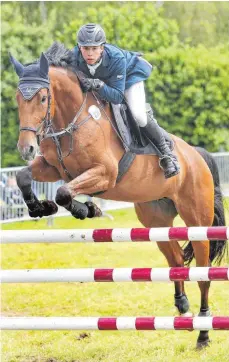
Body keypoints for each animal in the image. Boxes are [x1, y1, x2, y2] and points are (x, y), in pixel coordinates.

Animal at [9, 41, 227, 348]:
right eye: (18, 98)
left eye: (42, 98)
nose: (26, 148)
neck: (72, 118)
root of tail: (196, 155)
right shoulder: (53, 168)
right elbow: (24, 176)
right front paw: (41, 208)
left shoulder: (104, 173)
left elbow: (64, 192)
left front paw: (87, 209)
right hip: (155, 220)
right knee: (175, 259)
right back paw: (182, 308)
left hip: (197, 222)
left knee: (203, 273)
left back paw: (204, 332)